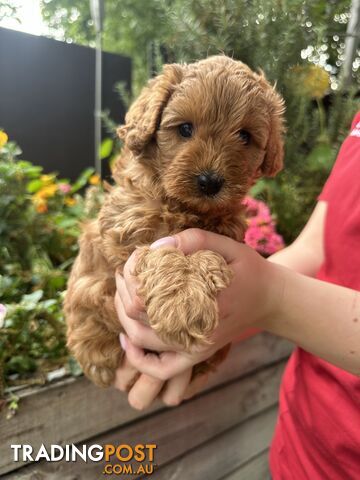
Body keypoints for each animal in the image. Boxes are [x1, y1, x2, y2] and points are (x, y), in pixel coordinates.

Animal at [64, 55, 284, 386]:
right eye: (185, 129)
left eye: (245, 136)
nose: (209, 182)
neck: (181, 206)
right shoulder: (125, 229)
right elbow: (163, 251)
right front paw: (183, 301)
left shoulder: (227, 231)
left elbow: (205, 250)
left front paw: (187, 296)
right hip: (87, 291)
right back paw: (97, 353)